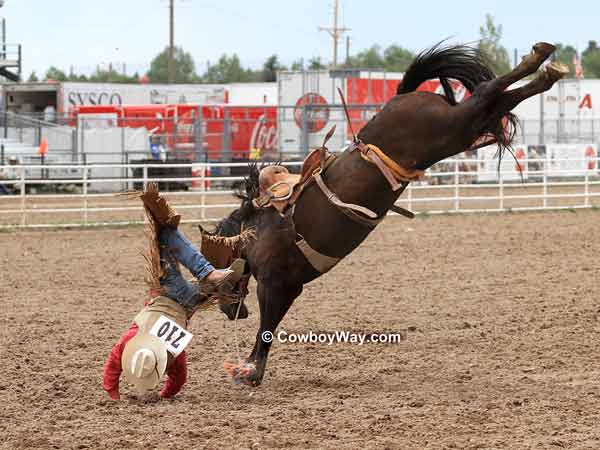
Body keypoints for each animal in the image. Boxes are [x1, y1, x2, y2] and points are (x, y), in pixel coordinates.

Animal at [200, 41, 568, 386]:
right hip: (458, 134)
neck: (258, 227)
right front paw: (250, 368)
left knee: (487, 93)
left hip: (453, 124)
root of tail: (402, 95)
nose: (233, 312)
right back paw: (547, 71)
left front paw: (250, 370)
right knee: (501, 100)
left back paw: (539, 60)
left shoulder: (277, 284)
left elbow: (267, 328)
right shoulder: (290, 287)